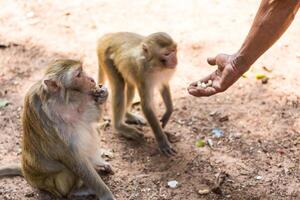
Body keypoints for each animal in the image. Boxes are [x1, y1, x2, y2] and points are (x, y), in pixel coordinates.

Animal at [0, 59, 116, 200]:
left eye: (82, 70)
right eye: (78, 74)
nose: (92, 80)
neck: (63, 102)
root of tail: (26, 173)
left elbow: (90, 118)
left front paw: (103, 94)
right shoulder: (51, 124)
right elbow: (74, 158)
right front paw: (106, 194)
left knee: (89, 128)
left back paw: (98, 164)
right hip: (57, 186)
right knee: (67, 171)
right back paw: (78, 191)